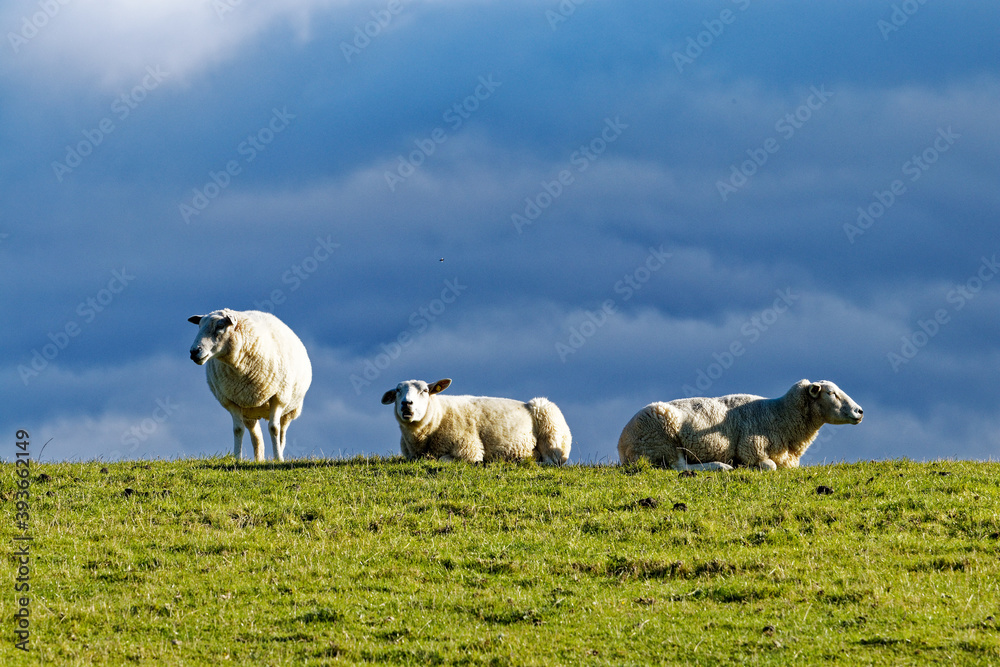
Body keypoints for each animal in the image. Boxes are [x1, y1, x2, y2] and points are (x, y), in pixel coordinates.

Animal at [188, 309, 312, 462]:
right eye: (199, 326)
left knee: (282, 431)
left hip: (289, 409)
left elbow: (274, 428)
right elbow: (238, 430)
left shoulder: (278, 397)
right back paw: (259, 460)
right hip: (249, 410)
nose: (194, 351)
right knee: (256, 437)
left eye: (220, 326)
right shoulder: (231, 400)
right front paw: (237, 459)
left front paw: (278, 458)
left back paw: (279, 453)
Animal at [381, 378, 572, 464]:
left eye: (425, 391)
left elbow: (443, 459)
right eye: (397, 391)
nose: (407, 404)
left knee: (551, 461)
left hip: (551, 432)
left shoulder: (469, 450)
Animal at [617, 379, 863, 471]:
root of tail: (622, 446)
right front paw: (745, 467)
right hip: (664, 439)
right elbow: (769, 466)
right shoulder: (751, 449)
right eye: (831, 393)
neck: (780, 415)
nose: (860, 411)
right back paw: (721, 466)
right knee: (680, 466)